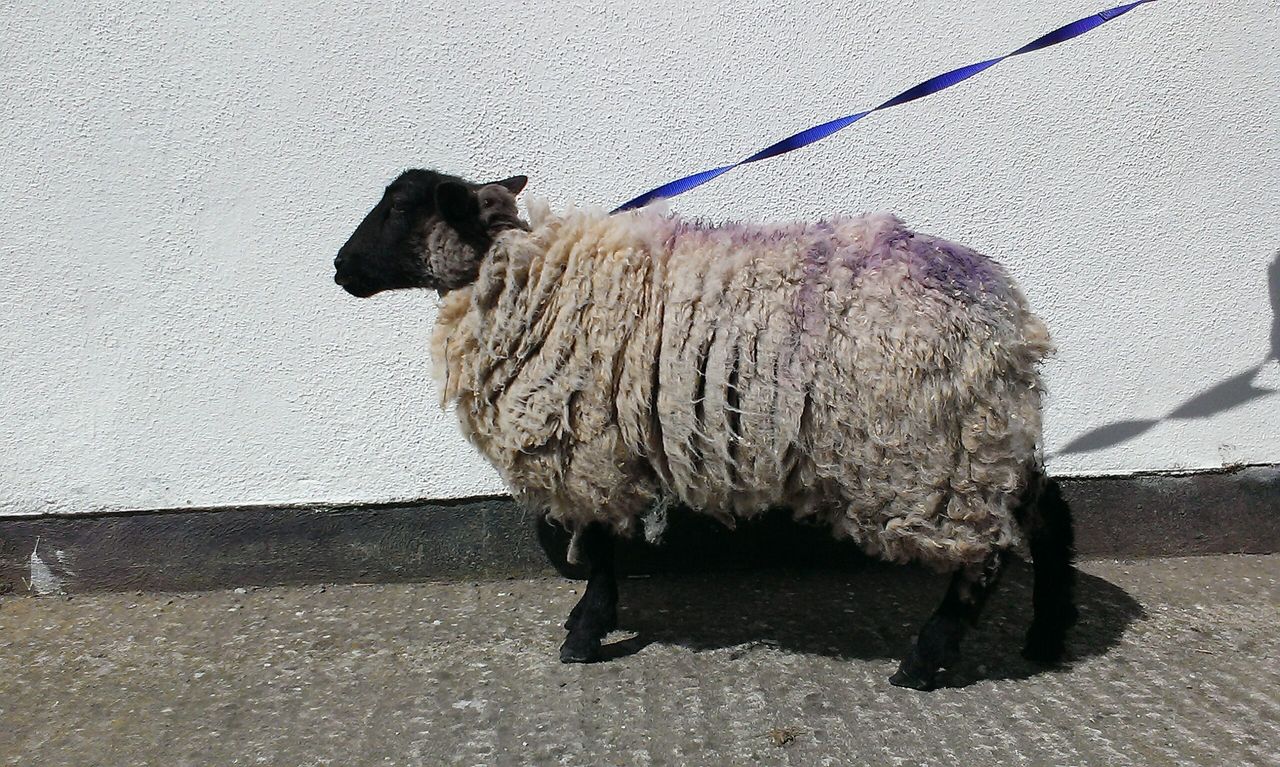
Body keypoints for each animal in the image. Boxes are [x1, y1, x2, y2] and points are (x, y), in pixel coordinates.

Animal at [332, 168, 1077, 690]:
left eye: (399, 208)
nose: (339, 268)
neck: (525, 272)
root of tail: (1011, 321)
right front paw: (587, 622)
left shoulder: (588, 443)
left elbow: (598, 546)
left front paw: (585, 633)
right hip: (977, 435)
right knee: (1044, 512)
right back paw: (1045, 636)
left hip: (928, 447)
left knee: (987, 551)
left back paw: (926, 660)